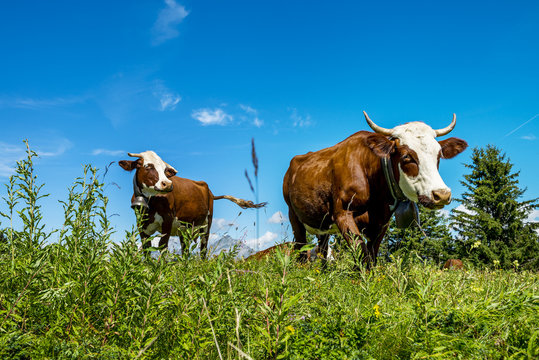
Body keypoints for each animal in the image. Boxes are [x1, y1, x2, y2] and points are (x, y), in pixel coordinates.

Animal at [121, 150, 266, 258]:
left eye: (164, 169)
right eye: (148, 166)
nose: (167, 184)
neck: (151, 203)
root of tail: (210, 192)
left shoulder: (167, 222)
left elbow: (162, 247)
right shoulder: (141, 225)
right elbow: (146, 251)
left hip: (206, 225)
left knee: (203, 249)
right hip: (184, 230)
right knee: (185, 251)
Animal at [282, 111, 468, 266]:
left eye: (439, 155)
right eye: (407, 157)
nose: (442, 194)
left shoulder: (382, 222)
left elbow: (371, 256)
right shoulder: (342, 213)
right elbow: (361, 251)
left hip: (322, 224)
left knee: (322, 249)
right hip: (294, 216)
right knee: (300, 249)